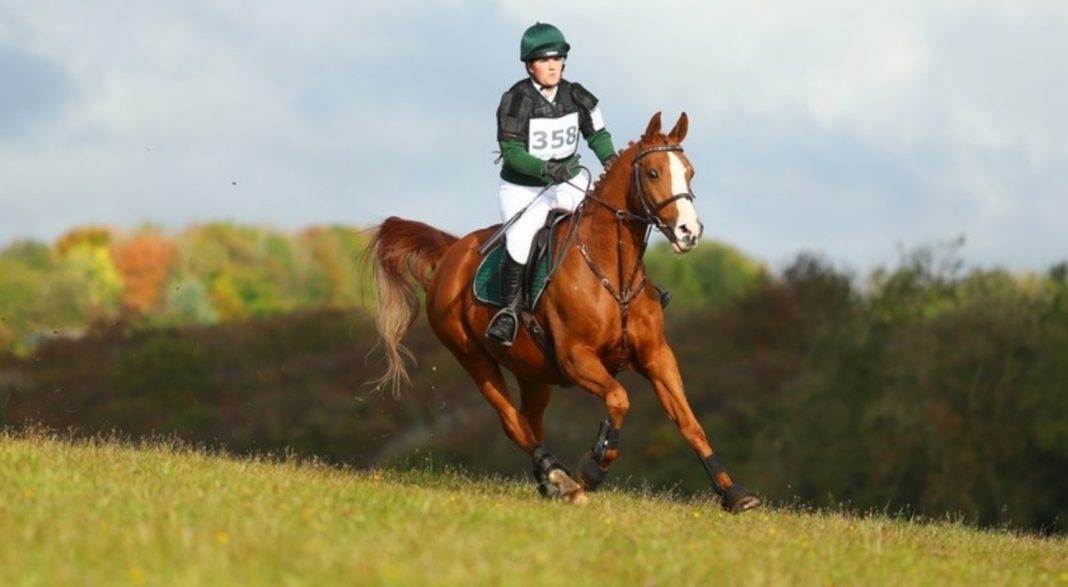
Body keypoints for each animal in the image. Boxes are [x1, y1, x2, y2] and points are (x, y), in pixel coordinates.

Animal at [367, 112, 760, 512]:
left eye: (690, 172)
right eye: (652, 173)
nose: (688, 232)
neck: (613, 273)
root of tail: (453, 251)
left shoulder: (657, 356)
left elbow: (688, 422)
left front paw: (733, 493)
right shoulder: (577, 359)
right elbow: (619, 399)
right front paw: (594, 466)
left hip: (532, 371)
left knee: (530, 420)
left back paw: (551, 483)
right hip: (472, 356)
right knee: (513, 422)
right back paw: (565, 480)